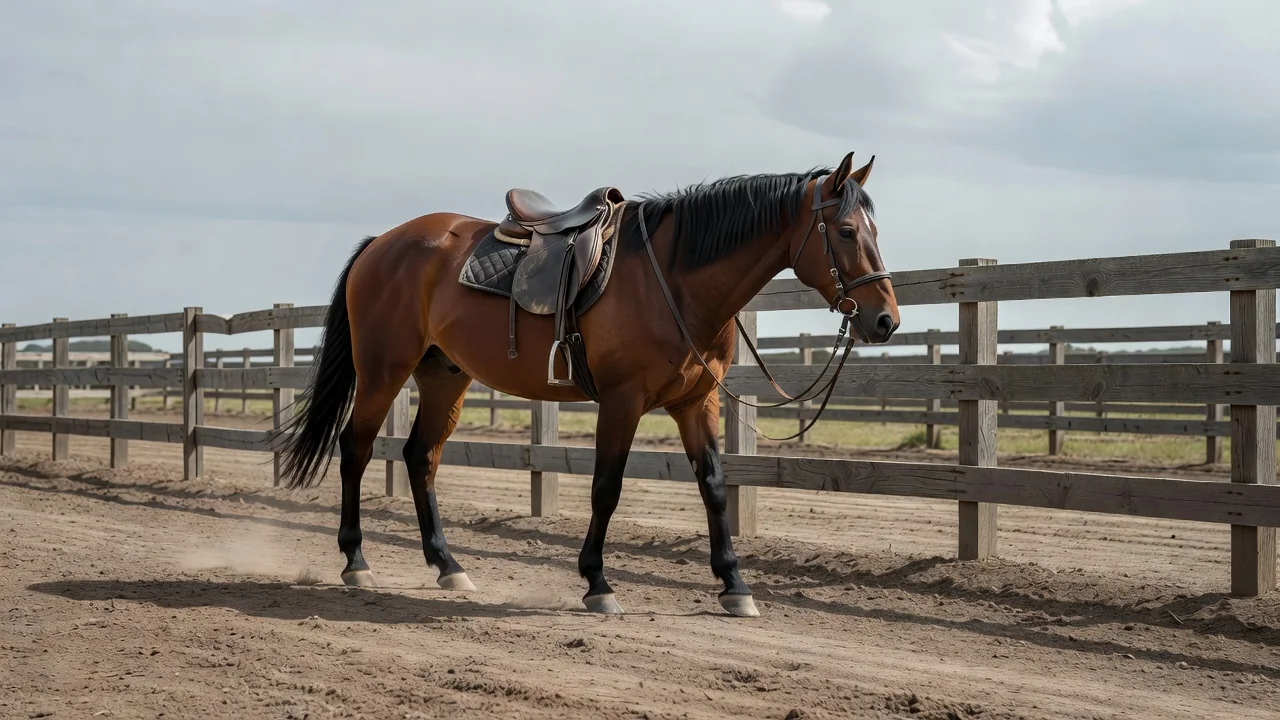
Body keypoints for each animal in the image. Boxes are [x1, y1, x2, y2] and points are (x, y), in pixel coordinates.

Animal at [272, 151, 899, 618]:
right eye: (846, 230)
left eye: (875, 229)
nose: (885, 321)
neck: (674, 279)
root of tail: (382, 243)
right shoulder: (621, 402)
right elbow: (606, 487)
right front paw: (597, 583)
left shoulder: (697, 403)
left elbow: (715, 487)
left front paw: (735, 586)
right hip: (383, 370)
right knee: (355, 449)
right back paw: (356, 562)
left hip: (444, 377)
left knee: (420, 457)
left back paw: (449, 567)